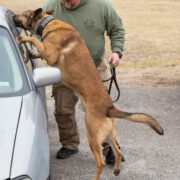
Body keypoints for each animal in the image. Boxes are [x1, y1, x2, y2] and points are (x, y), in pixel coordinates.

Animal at [13, 8, 164, 180]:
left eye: (23, 14)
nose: (13, 16)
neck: (47, 23)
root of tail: (109, 108)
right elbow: (38, 48)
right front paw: (32, 52)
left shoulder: (50, 54)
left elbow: (35, 40)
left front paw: (24, 38)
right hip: (109, 135)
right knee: (118, 150)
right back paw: (117, 169)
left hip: (92, 135)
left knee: (101, 162)